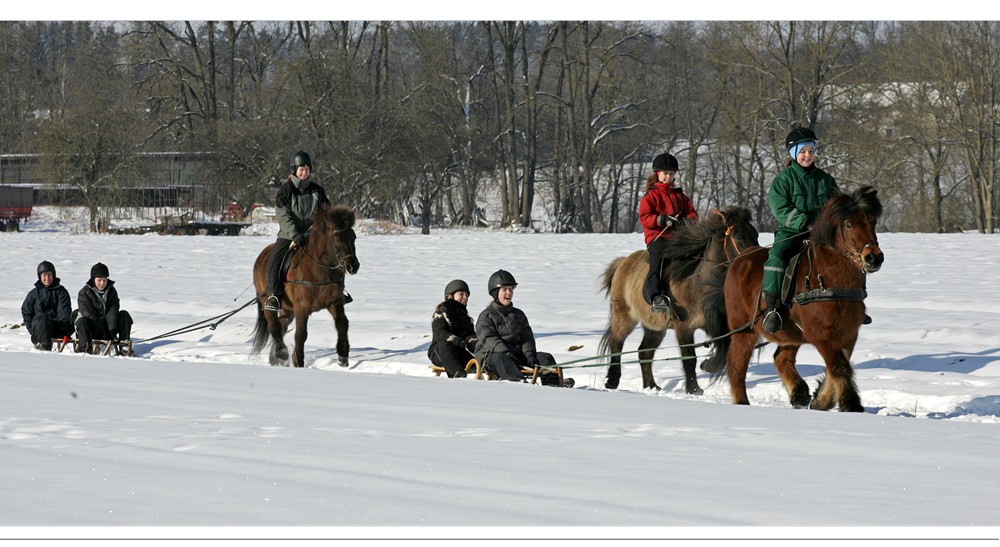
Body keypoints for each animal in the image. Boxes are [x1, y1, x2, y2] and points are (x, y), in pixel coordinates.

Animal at [249, 204, 360, 368]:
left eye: (353, 237)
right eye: (338, 239)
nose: (353, 266)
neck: (320, 269)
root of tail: (261, 256)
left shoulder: (334, 302)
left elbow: (342, 324)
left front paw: (343, 356)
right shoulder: (302, 307)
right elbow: (301, 335)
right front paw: (298, 361)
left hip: (287, 309)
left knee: (282, 325)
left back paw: (275, 358)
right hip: (267, 301)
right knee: (274, 326)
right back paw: (281, 353)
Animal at [596, 209, 760, 394]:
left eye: (756, 234)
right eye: (738, 236)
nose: (757, 262)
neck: (699, 282)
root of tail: (622, 263)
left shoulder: (718, 324)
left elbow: (726, 350)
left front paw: (707, 365)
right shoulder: (684, 327)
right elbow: (689, 357)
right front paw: (694, 388)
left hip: (655, 326)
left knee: (644, 352)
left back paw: (651, 386)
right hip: (624, 317)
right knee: (616, 345)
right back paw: (612, 382)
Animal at [720, 186, 884, 414]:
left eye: (872, 221)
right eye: (849, 224)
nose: (873, 257)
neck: (829, 280)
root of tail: (740, 258)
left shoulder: (848, 333)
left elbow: (837, 366)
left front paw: (821, 400)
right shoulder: (822, 334)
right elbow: (840, 367)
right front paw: (851, 404)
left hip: (790, 333)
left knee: (781, 359)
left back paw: (798, 393)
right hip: (744, 330)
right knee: (737, 364)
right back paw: (742, 401)